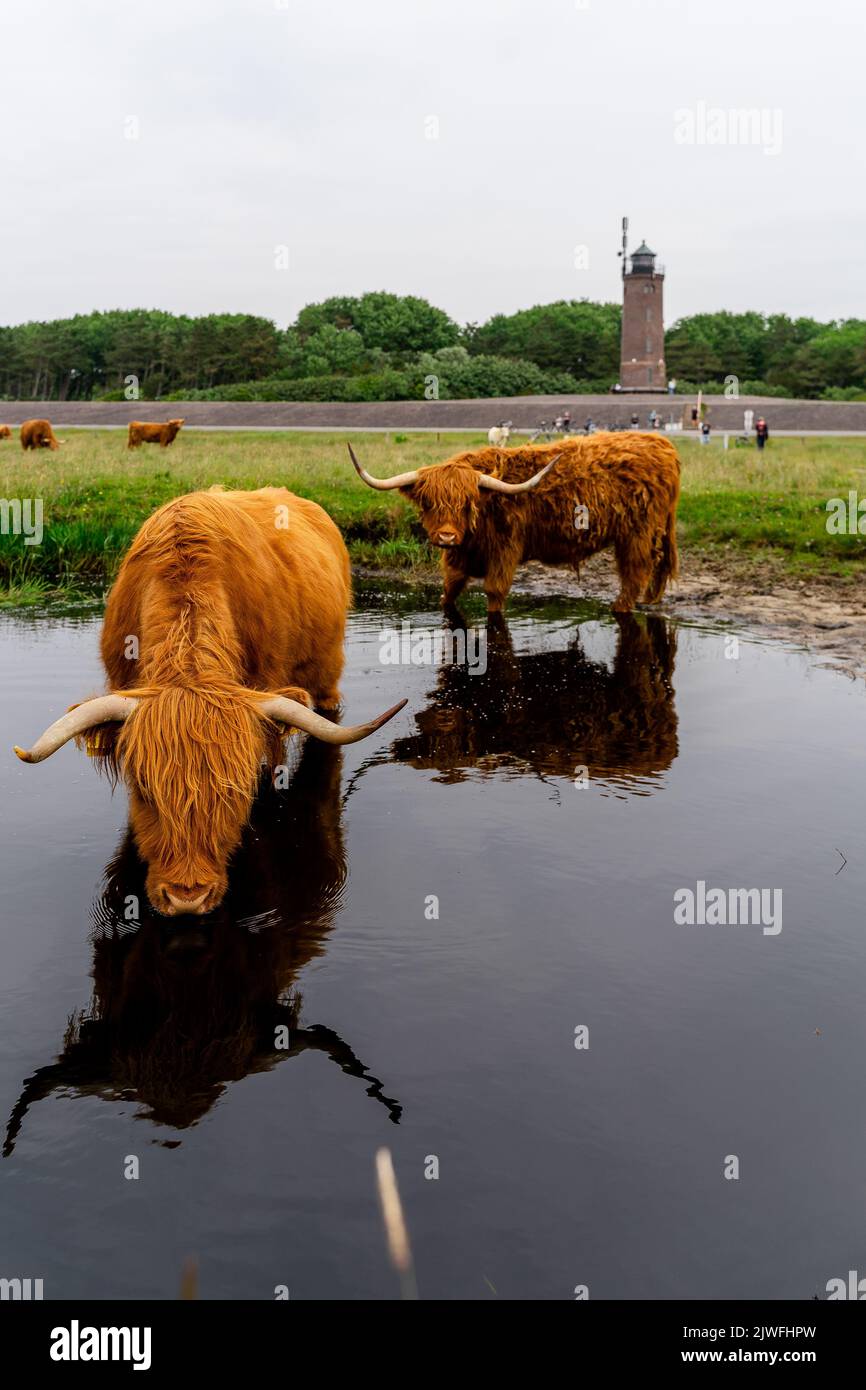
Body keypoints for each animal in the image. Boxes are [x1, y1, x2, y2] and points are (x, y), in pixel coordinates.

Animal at [348, 430, 681, 611]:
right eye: (428, 502)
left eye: (466, 504)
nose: (446, 537)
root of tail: (662, 444)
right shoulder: (458, 558)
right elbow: (449, 590)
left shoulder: (504, 552)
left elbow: (494, 594)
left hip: (638, 533)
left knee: (635, 572)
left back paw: (619, 607)